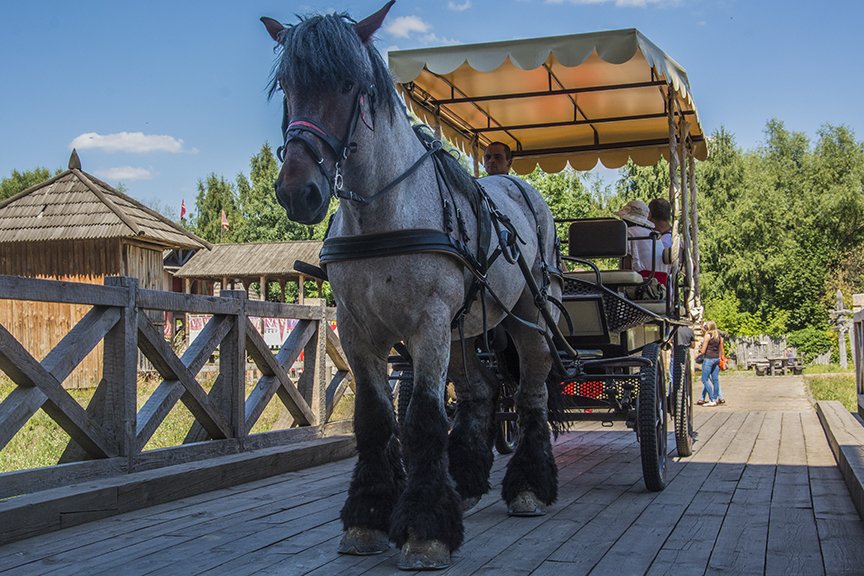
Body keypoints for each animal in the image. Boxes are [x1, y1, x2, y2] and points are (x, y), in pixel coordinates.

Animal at [260, 2, 564, 568]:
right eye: (288, 85)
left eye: (348, 84)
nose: (298, 191)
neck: (384, 215)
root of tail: (518, 185)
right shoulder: (358, 330)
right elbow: (376, 420)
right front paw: (368, 517)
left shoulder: (428, 324)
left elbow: (422, 420)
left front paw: (425, 530)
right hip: (468, 329)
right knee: (480, 392)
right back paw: (463, 484)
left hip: (530, 319)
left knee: (531, 393)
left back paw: (529, 487)